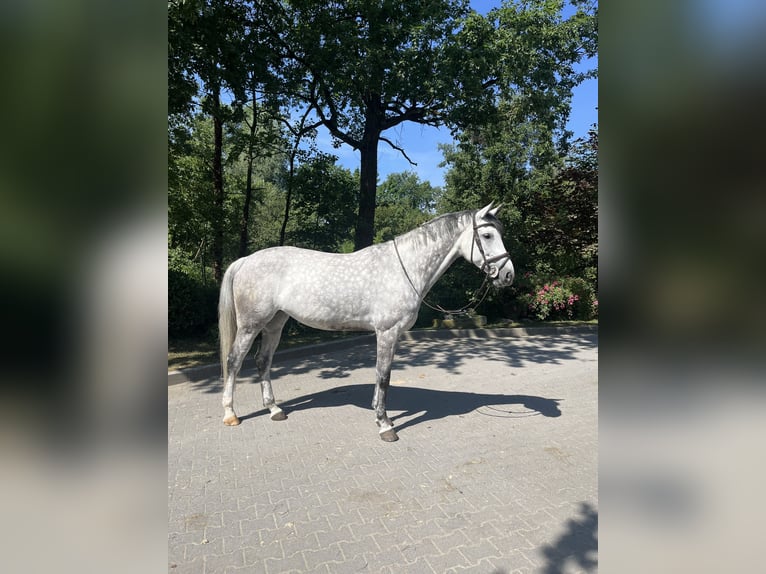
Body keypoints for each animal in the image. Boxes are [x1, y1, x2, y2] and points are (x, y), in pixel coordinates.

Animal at [218, 203, 515, 441]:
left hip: (275, 323)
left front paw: (382, 416)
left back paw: (274, 409)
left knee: (262, 361)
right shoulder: (386, 332)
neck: (405, 268)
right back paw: (231, 414)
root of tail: (245, 260)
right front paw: (385, 426)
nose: (508, 275)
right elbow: (383, 376)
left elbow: (385, 376)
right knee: (234, 361)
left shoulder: (392, 335)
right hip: (251, 324)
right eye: (487, 235)